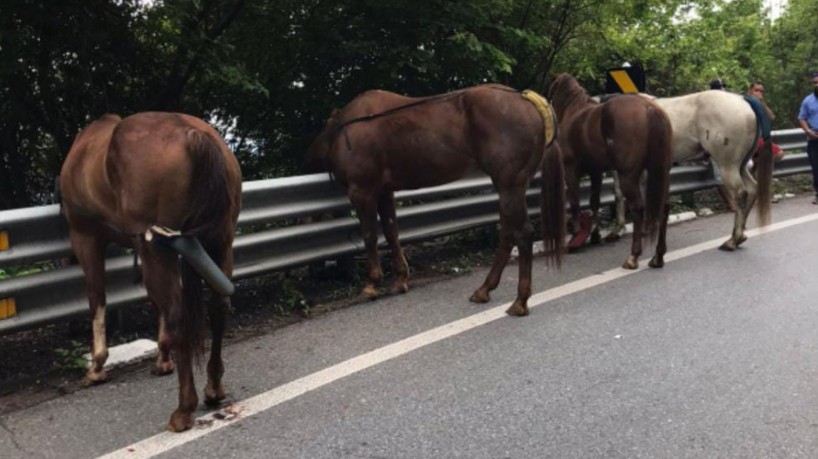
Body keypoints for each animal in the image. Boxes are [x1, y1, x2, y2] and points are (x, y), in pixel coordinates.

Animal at [59, 111, 241, 432]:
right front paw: (163, 357)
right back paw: (214, 388)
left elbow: (97, 296)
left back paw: (184, 409)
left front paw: (97, 365)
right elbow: (154, 301)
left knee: (179, 315)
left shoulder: (86, 238)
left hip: (161, 247)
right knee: (219, 307)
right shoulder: (140, 245)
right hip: (219, 239)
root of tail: (194, 134)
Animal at [302, 84, 564, 318]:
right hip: (510, 188)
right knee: (508, 234)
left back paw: (520, 300)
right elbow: (391, 232)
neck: (342, 131)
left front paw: (371, 283)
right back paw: (484, 289)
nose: (313, 272)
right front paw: (400, 279)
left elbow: (370, 236)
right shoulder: (385, 192)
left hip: (510, 185)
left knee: (523, 233)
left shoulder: (363, 191)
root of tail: (529, 100)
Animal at [544, 74, 672, 272]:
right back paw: (658, 257)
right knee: (663, 207)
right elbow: (594, 201)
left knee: (638, 208)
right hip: (658, 173)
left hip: (628, 176)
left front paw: (576, 236)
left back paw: (633, 257)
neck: (574, 111)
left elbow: (575, 203)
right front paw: (594, 234)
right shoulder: (596, 172)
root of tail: (649, 108)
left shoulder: (571, 170)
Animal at [604, 89, 776, 252]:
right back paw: (738, 236)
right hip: (740, 165)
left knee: (740, 193)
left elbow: (619, 194)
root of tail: (743, 100)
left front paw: (618, 229)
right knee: (752, 189)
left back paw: (734, 239)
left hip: (728, 165)